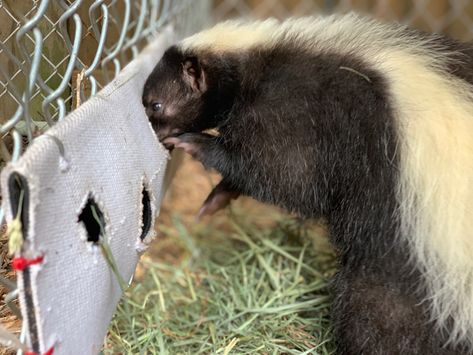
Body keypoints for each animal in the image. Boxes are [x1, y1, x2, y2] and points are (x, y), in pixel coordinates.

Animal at [142, 13, 472, 354]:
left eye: (156, 105)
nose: (155, 136)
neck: (258, 60)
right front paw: (219, 196)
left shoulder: (296, 112)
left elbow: (287, 174)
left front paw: (196, 144)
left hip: (411, 277)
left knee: (376, 317)